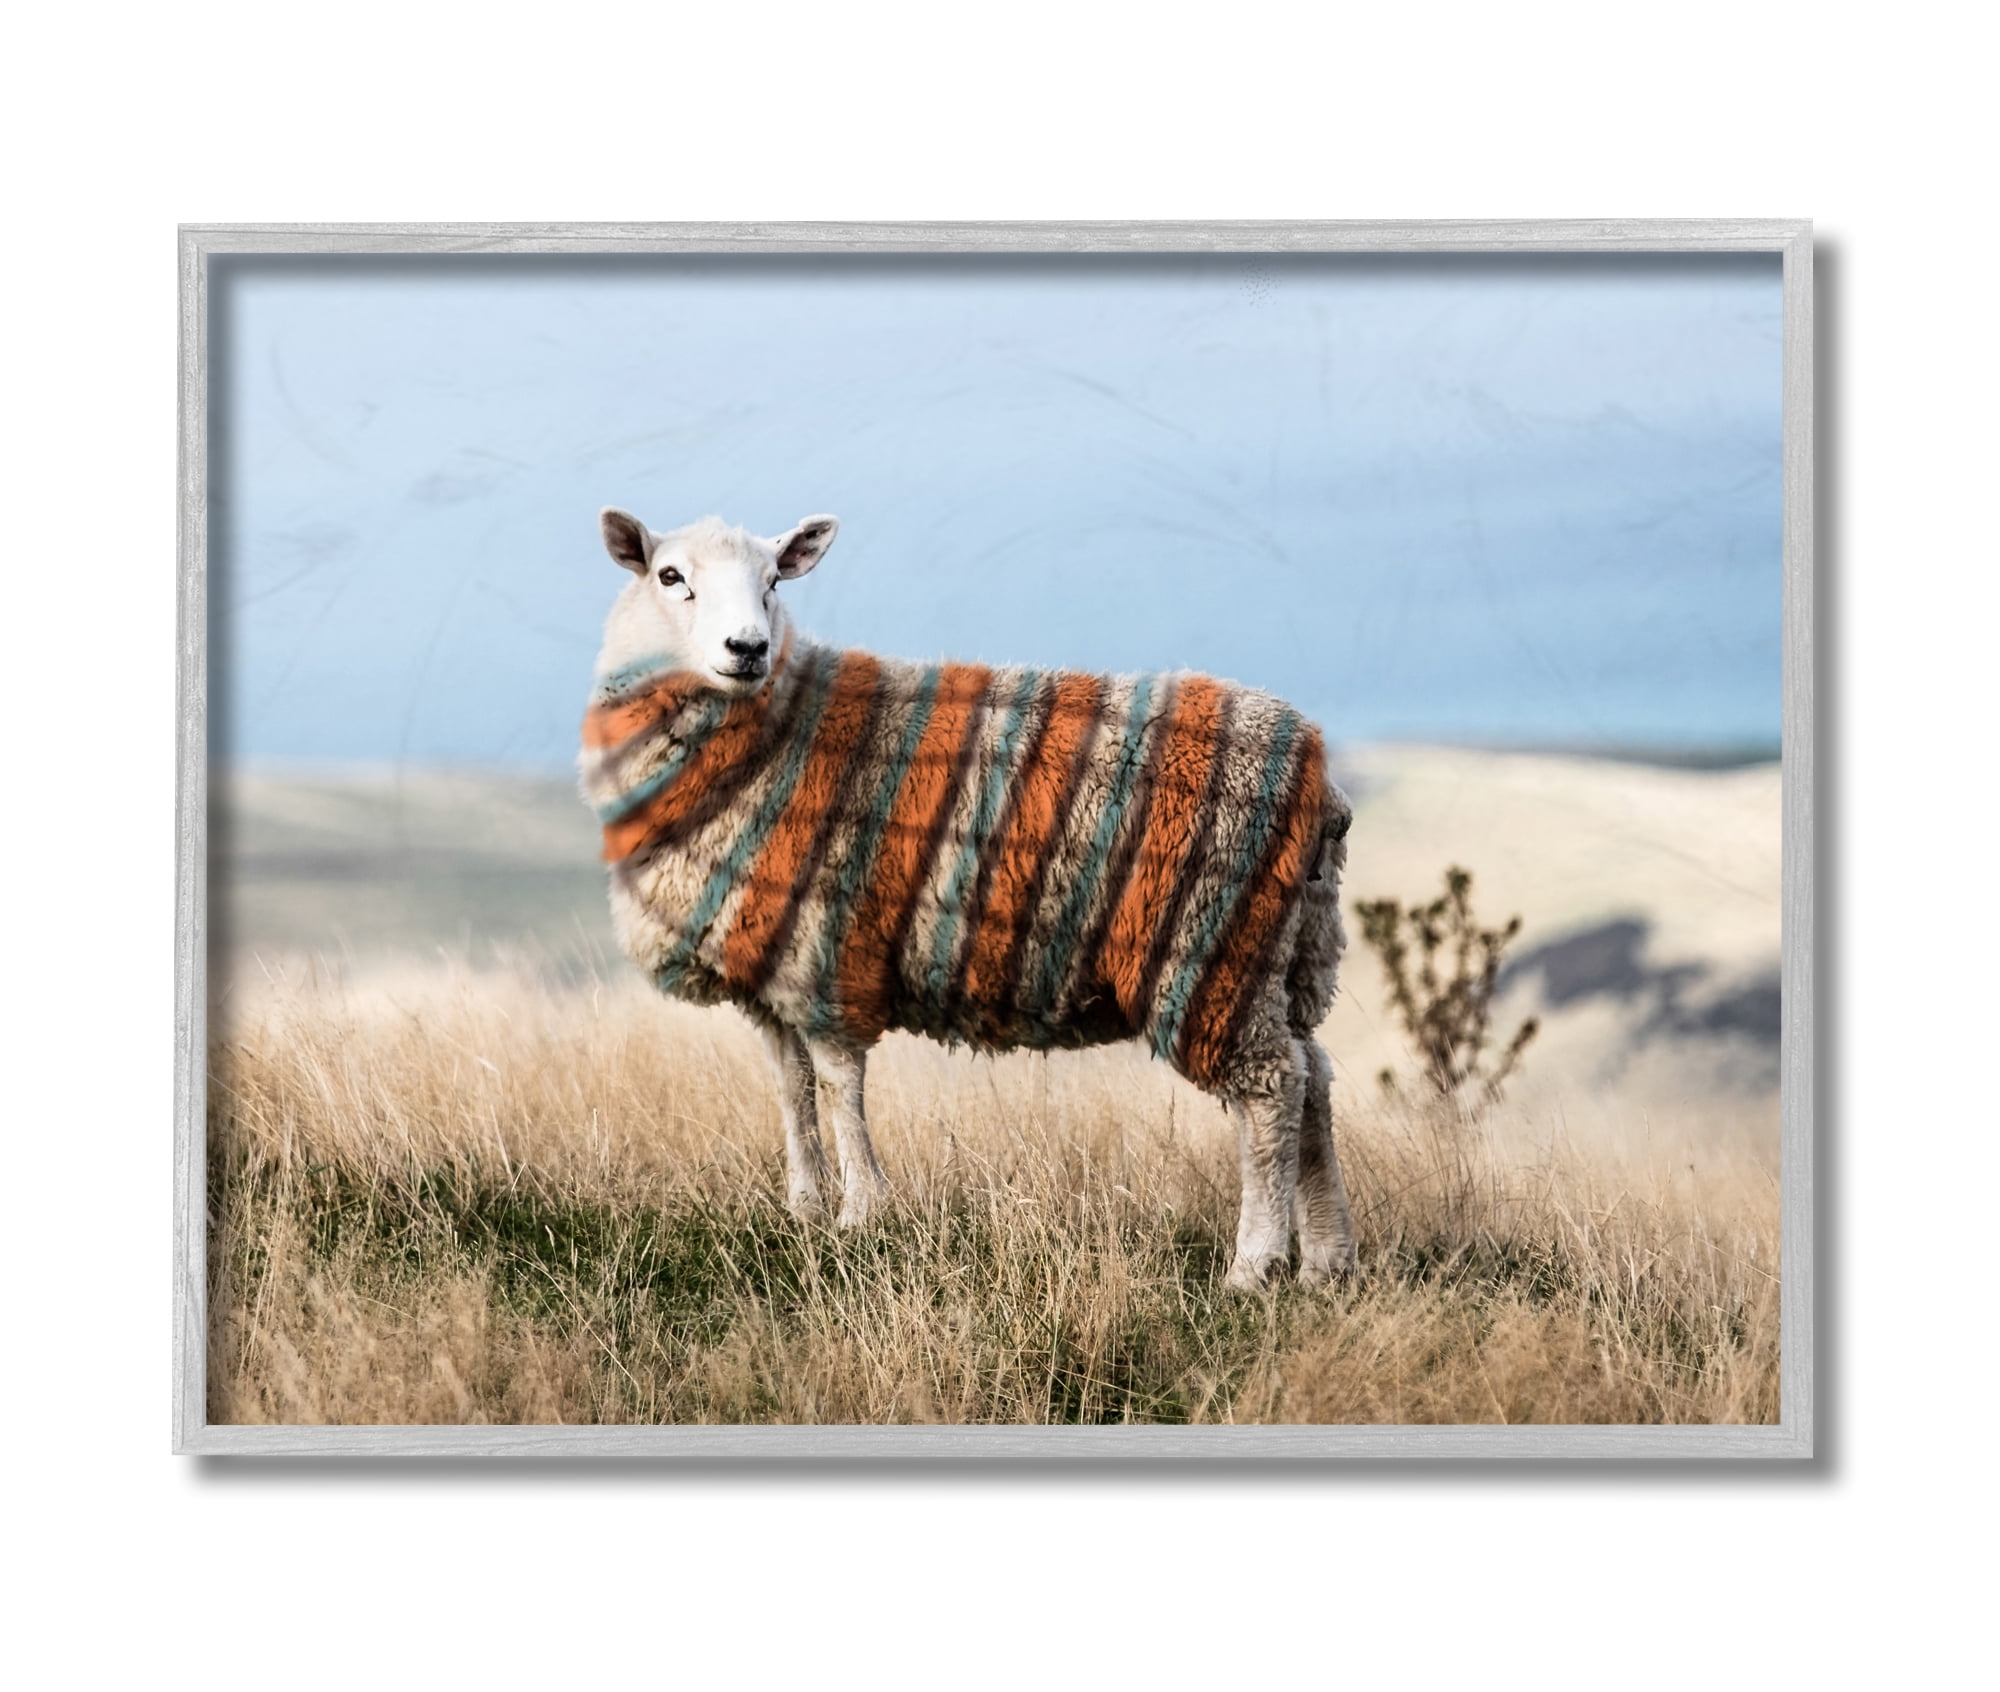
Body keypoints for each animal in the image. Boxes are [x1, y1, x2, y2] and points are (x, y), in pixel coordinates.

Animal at [579, 506, 1358, 1289]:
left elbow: (838, 1085)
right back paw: (1325, 1259)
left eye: (774, 580)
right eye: (669, 576)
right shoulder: (767, 966)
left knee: (1270, 1093)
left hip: (1207, 947)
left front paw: (861, 1213)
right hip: (1283, 952)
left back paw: (1254, 1266)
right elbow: (792, 1089)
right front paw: (803, 1208)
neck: (779, 726)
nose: (748, 648)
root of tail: (1316, 771)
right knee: (1313, 1079)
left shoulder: (823, 952)